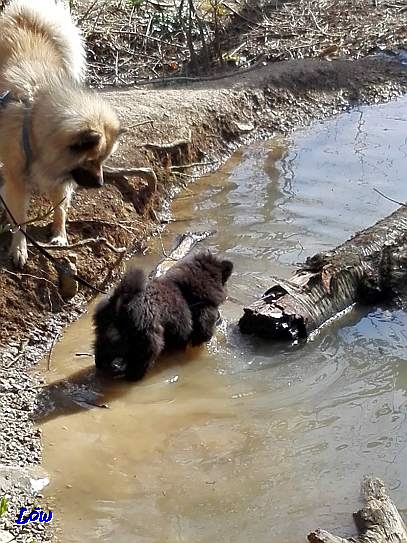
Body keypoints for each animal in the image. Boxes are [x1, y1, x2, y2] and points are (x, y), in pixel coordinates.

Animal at [0, 0, 122, 268]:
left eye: (103, 161)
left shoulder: (61, 176)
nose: (101, 184)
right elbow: (20, 219)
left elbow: (60, 205)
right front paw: (19, 248)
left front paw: (59, 233)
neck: (32, 119)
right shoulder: (17, 178)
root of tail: (26, 14)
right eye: (91, 160)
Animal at [92, 253, 233, 380]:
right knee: (140, 363)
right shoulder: (203, 313)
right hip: (148, 341)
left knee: (100, 353)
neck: (186, 291)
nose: (219, 318)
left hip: (104, 336)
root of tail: (121, 303)